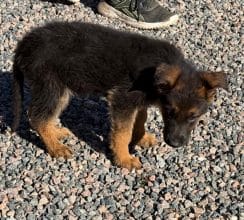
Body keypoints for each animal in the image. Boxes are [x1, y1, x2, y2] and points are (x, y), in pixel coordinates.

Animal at [12, 21, 228, 170]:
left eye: (193, 117)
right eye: (169, 112)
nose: (175, 144)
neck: (155, 75)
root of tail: (25, 43)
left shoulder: (138, 100)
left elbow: (140, 119)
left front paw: (140, 138)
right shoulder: (122, 99)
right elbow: (122, 133)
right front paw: (124, 159)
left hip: (59, 90)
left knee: (44, 116)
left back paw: (56, 132)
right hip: (52, 86)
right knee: (37, 117)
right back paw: (55, 147)